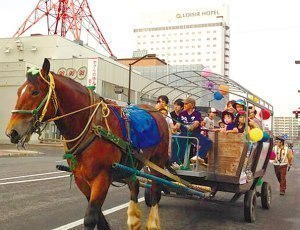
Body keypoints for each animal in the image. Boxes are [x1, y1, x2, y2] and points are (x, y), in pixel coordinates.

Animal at [5, 58, 170, 229]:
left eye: (35, 92)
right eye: (18, 92)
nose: (12, 132)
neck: (91, 127)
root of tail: (157, 112)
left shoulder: (102, 178)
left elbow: (90, 218)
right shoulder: (81, 179)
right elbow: (99, 217)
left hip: (158, 162)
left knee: (155, 191)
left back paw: (152, 221)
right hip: (131, 164)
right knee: (134, 186)